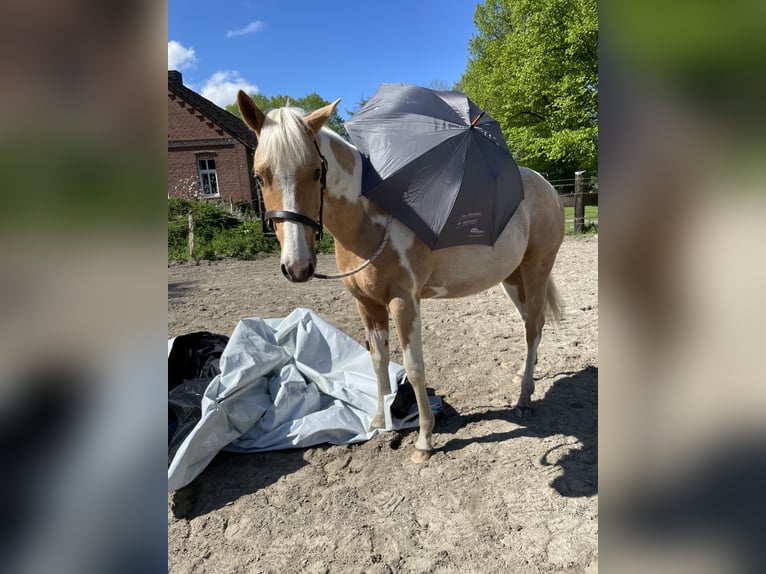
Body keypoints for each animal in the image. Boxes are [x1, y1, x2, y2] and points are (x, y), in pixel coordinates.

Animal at [237, 91, 565, 463]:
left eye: (316, 172)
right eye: (260, 176)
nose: (297, 266)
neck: (371, 219)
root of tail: (547, 186)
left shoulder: (403, 302)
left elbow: (413, 365)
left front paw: (424, 441)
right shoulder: (367, 306)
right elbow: (377, 361)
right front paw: (378, 423)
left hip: (537, 270)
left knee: (533, 327)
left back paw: (524, 398)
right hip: (512, 279)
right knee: (532, 323)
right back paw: (527, 379)